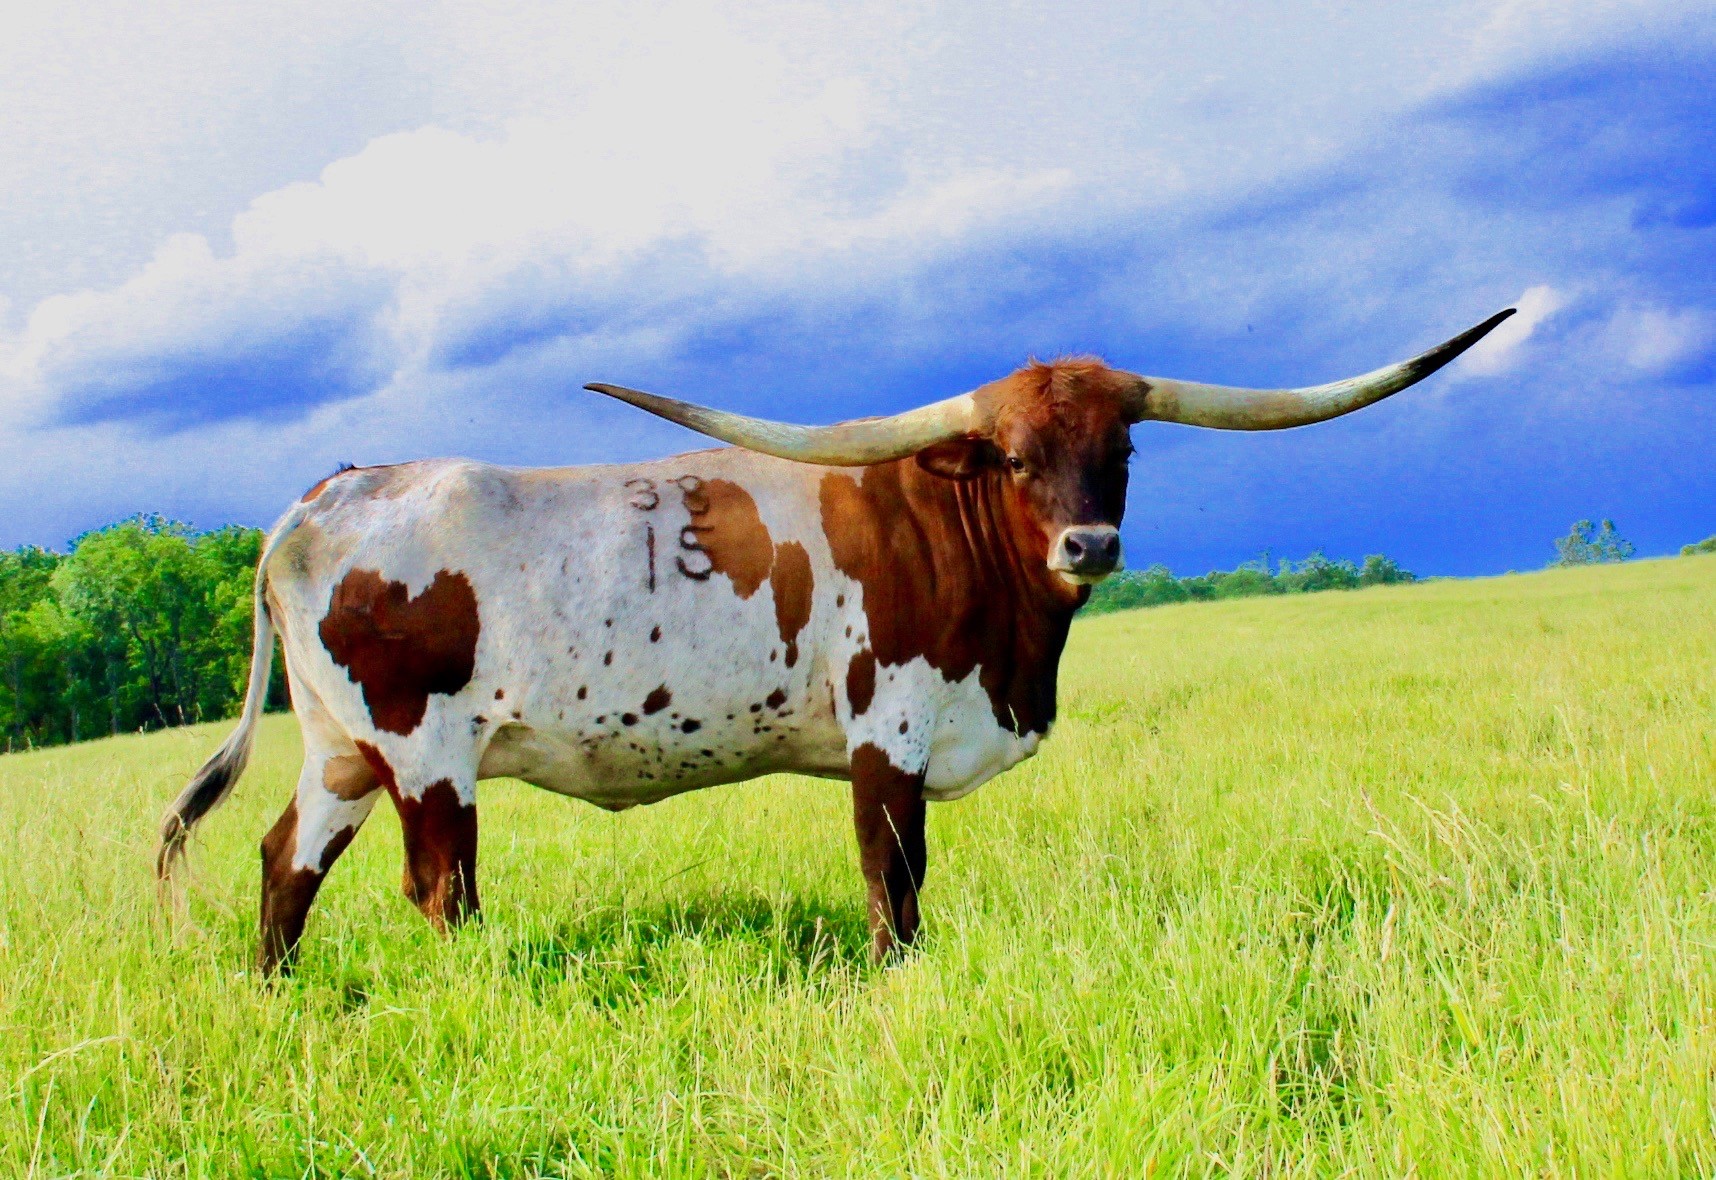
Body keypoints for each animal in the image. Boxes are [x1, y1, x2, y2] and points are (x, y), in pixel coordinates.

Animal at [157, 309, 1513, 973]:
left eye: (1120, 448)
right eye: (1013, 454)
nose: (1089, 546)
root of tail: (324, 494)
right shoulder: (889, 730)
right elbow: (891, 881)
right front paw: (894, 981)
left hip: (342, 750)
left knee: (285, 864)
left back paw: (277, 997)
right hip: (425, 749)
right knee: (440, 888)